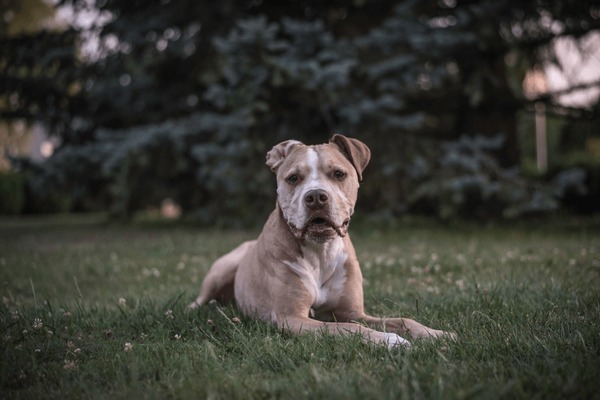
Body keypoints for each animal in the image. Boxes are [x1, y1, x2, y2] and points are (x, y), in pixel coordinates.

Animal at [190, 134, 452, 346]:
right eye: (293, 178)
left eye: (338, 174)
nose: (316, 196)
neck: (320, 250)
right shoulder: (293, 318)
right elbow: (349, 328)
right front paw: (391, 340)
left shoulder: (353, 311)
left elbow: (403, 320)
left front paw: (437, 334)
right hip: (223, 268)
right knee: (201, 299)